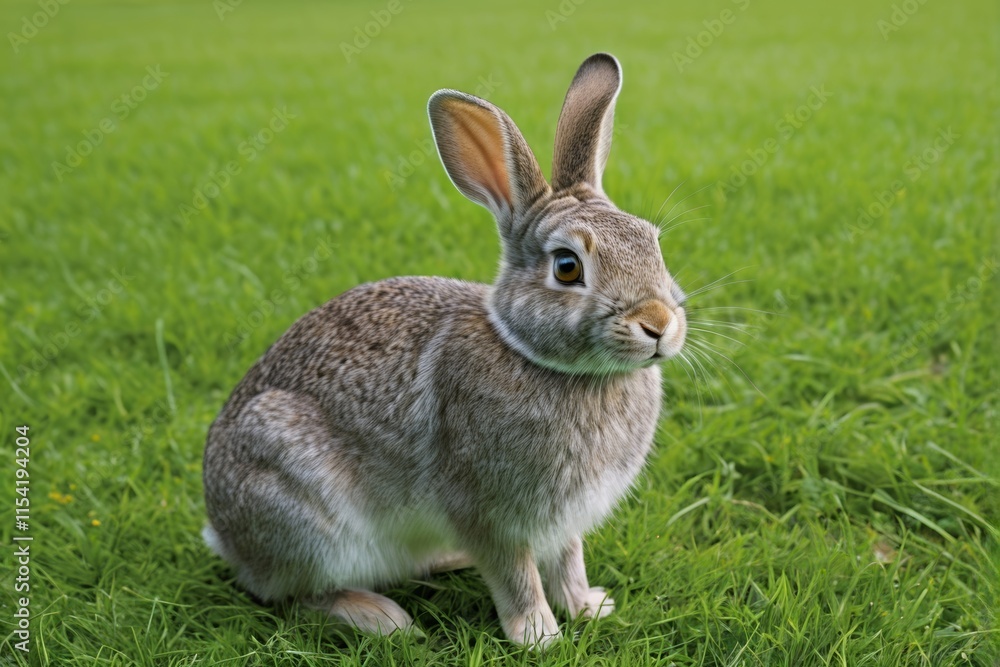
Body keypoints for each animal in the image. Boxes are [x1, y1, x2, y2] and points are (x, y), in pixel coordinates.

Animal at [202, 52, 688, 648]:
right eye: (567, 266)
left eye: (652, 241)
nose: (659, 324)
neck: (539, 358)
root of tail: (224, 534)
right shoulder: (488, 513)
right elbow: (516, 573)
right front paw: (538, 634)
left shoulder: (563, 522)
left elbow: (568, 561)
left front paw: (589, 607)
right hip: (305, 512)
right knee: (296, 595)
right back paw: (381, 618)